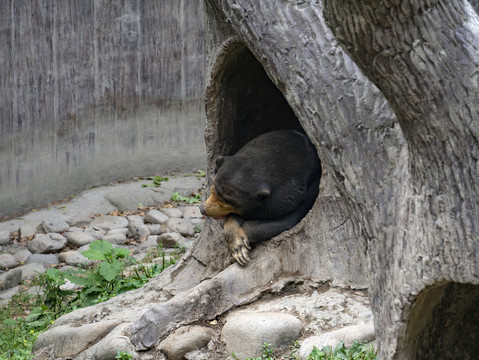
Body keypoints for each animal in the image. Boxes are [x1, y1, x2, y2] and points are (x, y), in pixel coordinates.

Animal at [199, 129, 322, 264]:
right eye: (212, 189)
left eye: (227, 201)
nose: (202, 209)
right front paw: (237, 245)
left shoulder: (301, 193)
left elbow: (288, 219)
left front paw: (239, 249)